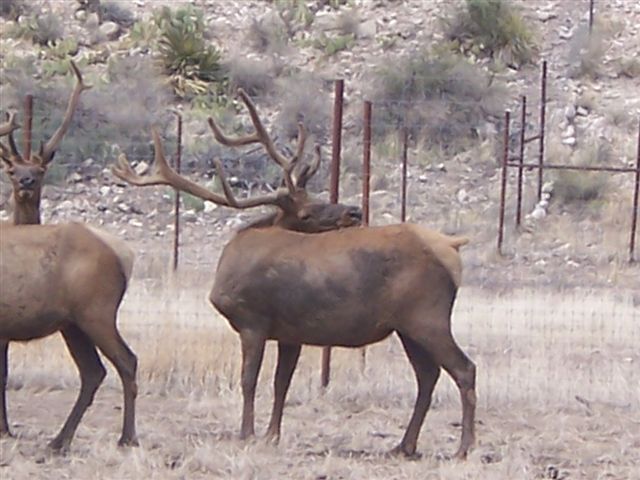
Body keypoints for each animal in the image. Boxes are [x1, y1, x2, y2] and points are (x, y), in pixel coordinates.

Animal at [0, 62, 139, 450]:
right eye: (11, 171)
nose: (26, 182)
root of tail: (123, 258)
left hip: (96, 311)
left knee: (126, 361)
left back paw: (126, 438)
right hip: (72, 322)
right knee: (94, 371)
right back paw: (59, 440)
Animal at [114, 88, 476, 460]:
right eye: (307, 208)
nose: (354, 211)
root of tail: (452, 247)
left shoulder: (253, 319)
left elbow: (249, 379)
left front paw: (247, 433)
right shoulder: (290, 332)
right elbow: (281, 382)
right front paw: (272, 435)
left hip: (427, 314)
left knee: (464, 369)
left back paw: (463, 448)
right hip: (407, 326)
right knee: (428, 375)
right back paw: (404, 445)